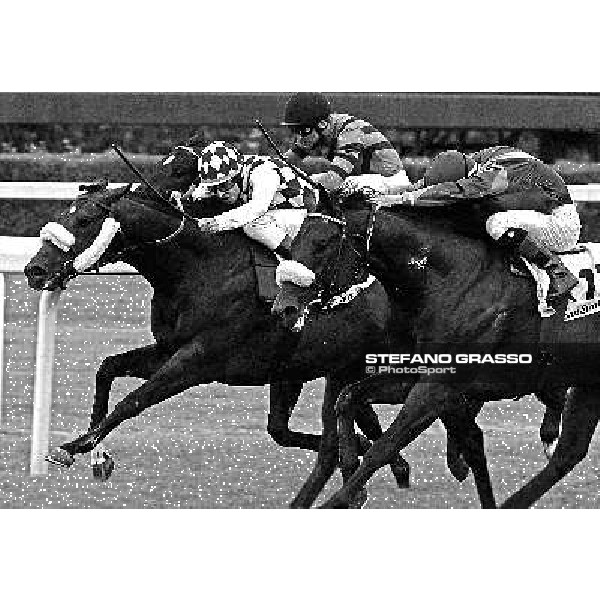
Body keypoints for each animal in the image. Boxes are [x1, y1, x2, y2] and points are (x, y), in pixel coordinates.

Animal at [274, 199, 588, 508]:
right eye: (293, 242)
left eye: (322, 243)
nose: (283, 308)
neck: (447, 278)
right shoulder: (415, 373)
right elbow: (347, 399)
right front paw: (350, 464)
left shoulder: (437, 386)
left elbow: (384, 445)